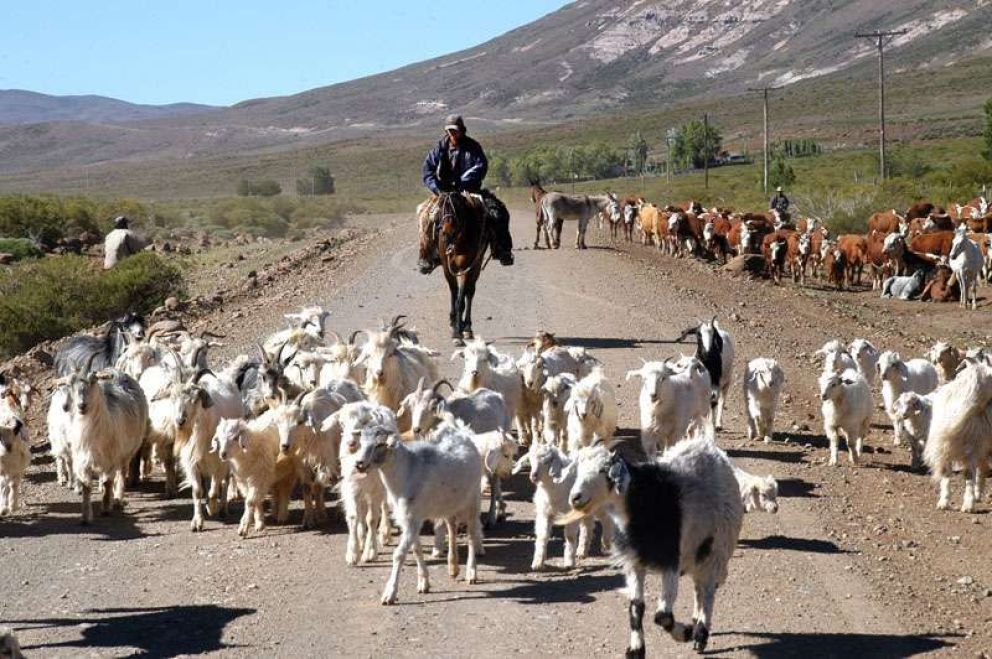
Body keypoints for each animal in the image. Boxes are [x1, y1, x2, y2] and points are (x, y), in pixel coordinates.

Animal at [440, 191, 490, 346]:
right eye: (442, 207)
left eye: (457, 207)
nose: (447, 232)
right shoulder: (447, 269)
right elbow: (454, 294)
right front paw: (454, 326)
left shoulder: (465, 269)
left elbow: (461, 301)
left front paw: (458, 333)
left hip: (476, 267)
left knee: (470, 292)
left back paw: (466, 327)